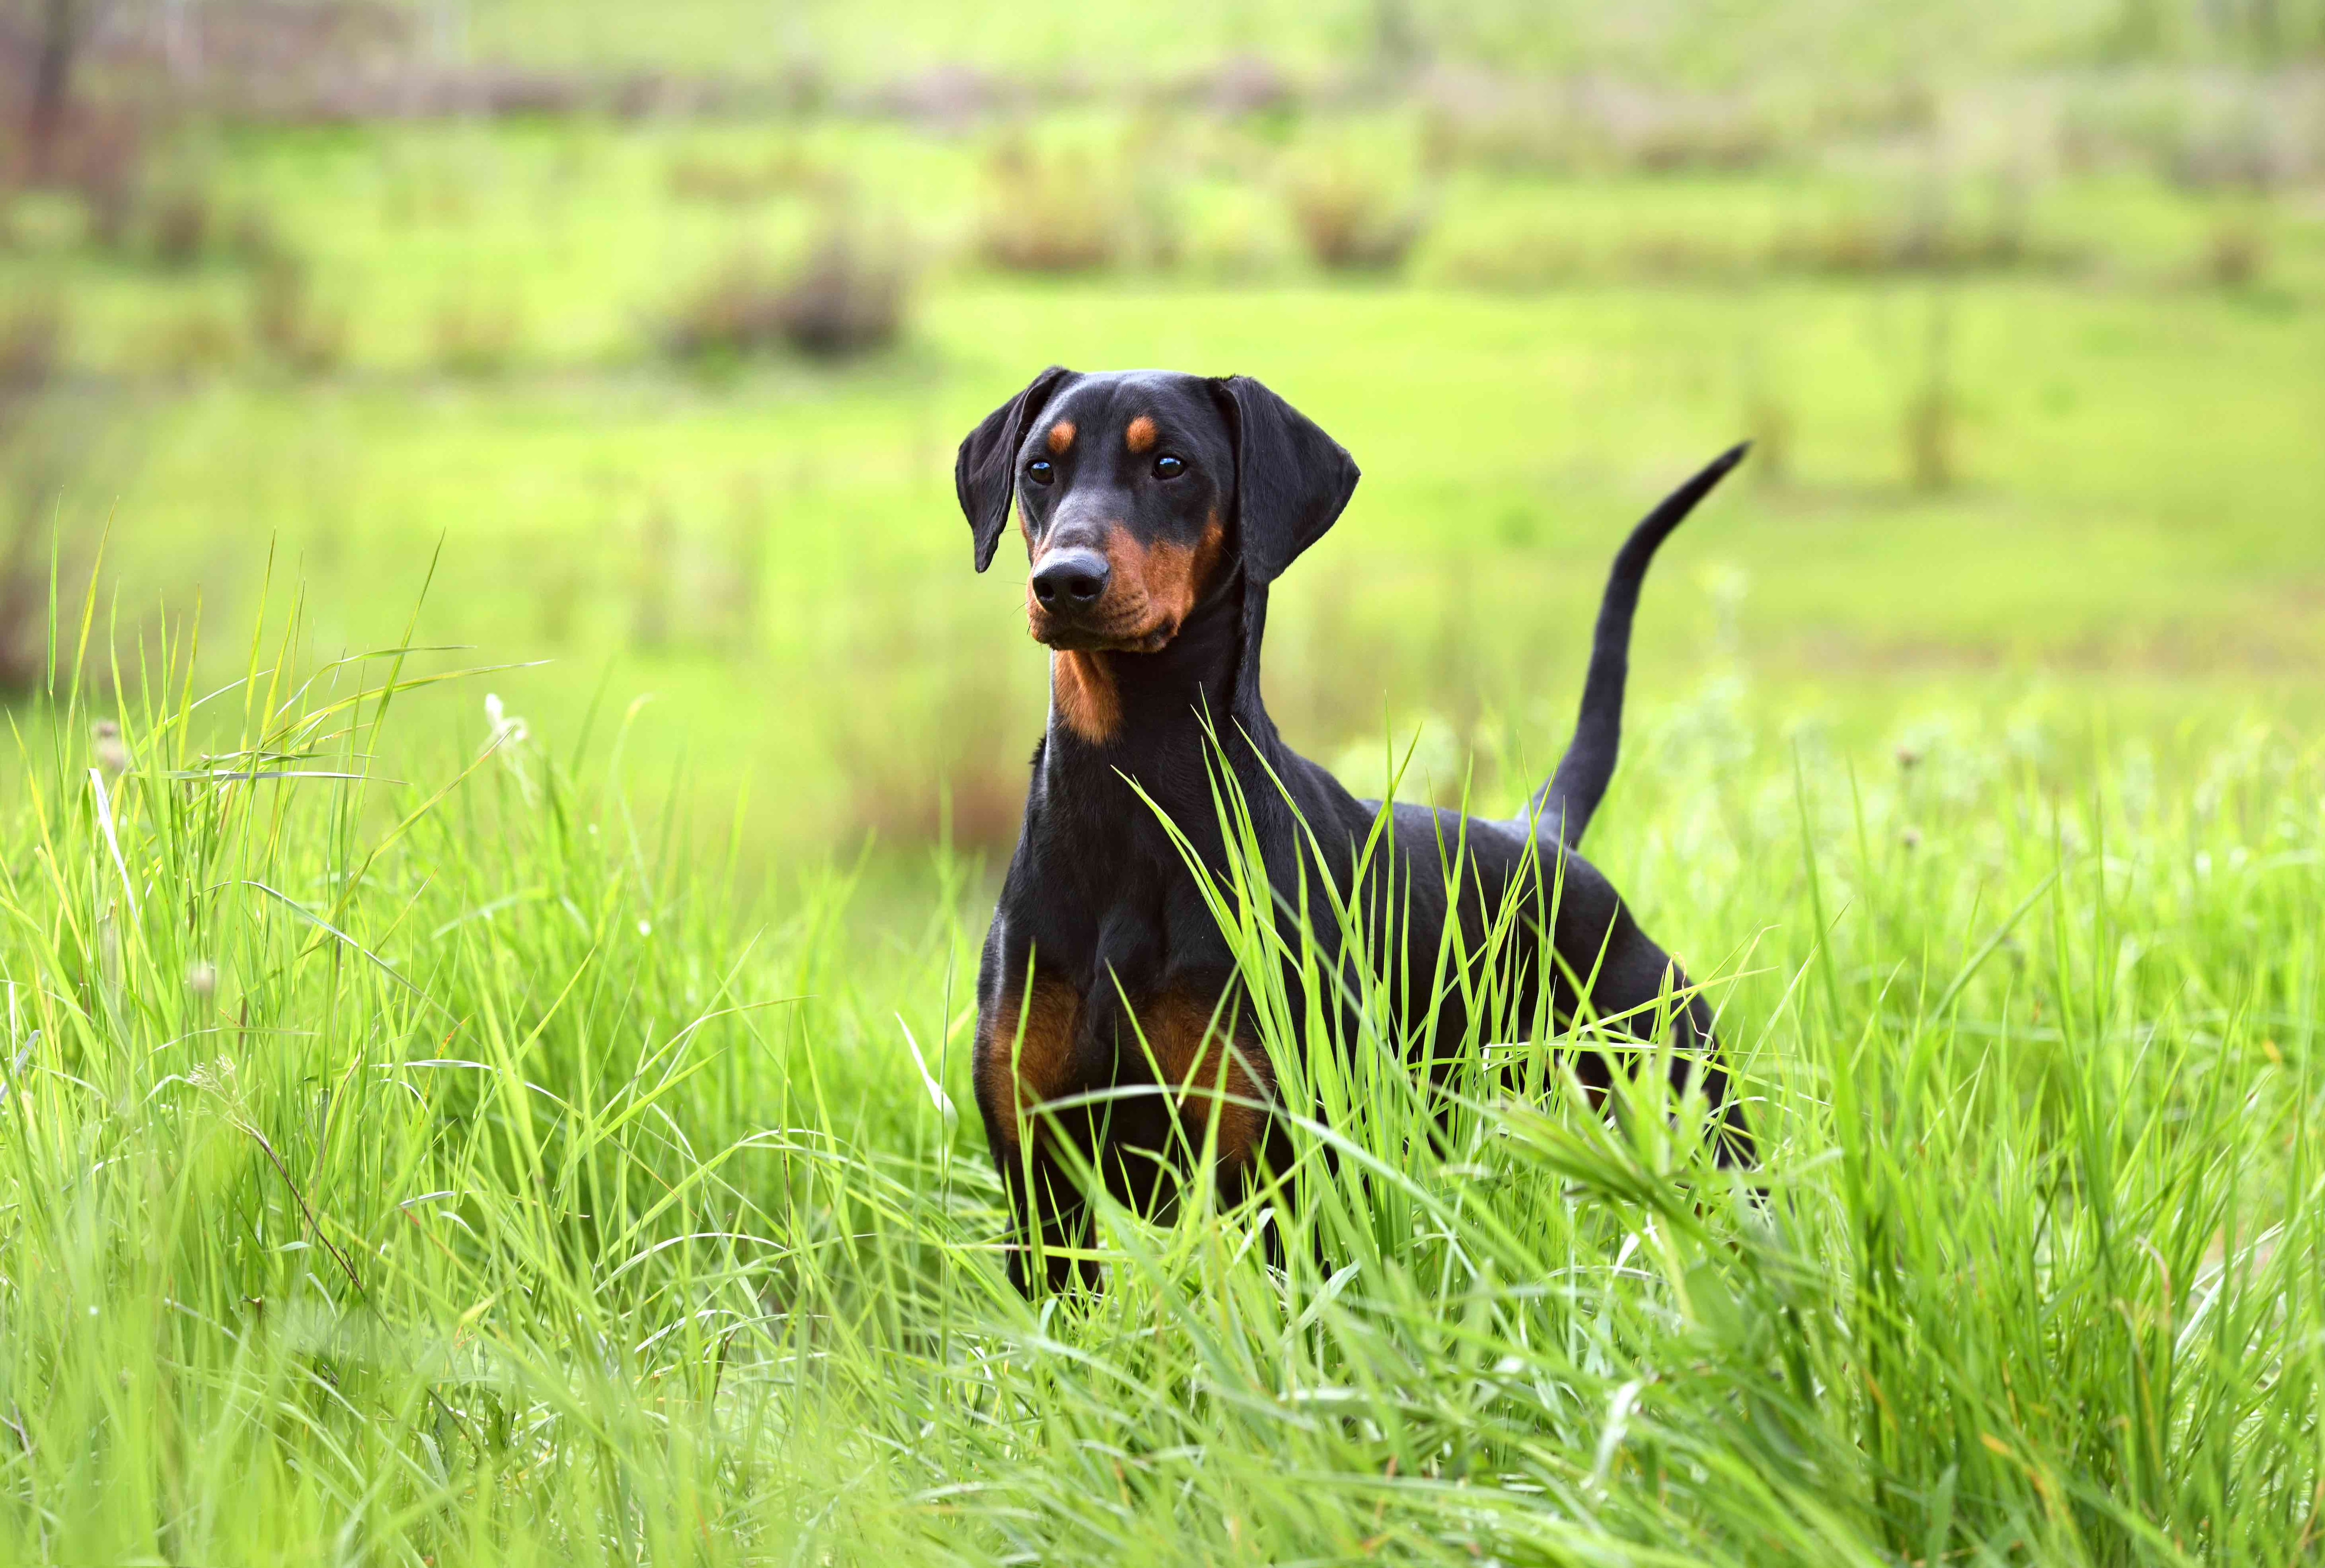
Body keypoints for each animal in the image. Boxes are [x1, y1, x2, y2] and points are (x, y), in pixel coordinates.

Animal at [953, 370, 1748, 1293]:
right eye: (1040, 469)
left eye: (1171, 464)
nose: (1065, 582)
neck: (1130, 798)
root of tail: (1543, 836)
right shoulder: (1041, 1187)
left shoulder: (1275, 1174)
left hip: (1694, 1104)